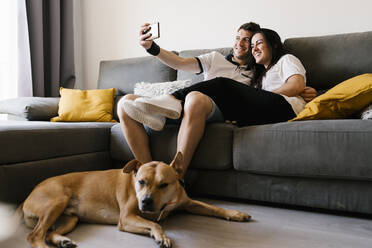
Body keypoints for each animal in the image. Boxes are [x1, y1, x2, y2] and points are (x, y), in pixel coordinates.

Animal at [17, 152, 250, 247]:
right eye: (140, 181)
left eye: (163, 184)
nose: (145, 201)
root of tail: (28, 194)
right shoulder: (127, 218)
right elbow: (154, 224)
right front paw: (161, 236)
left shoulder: (187, 203)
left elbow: (213, 207)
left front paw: (235, 213)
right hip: (57, 202)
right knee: (34, 236)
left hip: (69, 218)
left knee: (49, 233)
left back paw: (62, 241)